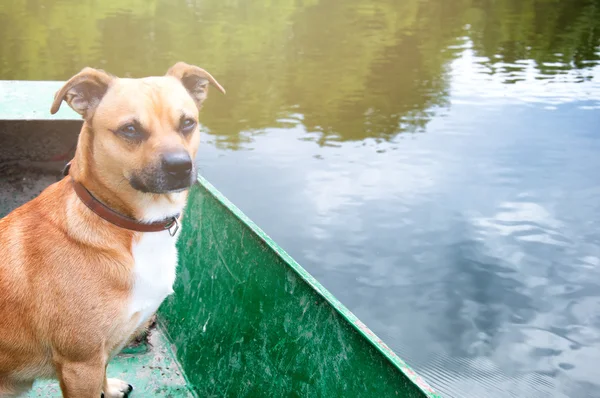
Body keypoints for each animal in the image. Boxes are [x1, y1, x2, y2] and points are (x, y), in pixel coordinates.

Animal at [0, 63, 225, 398]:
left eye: (187, 123)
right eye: (130, 129)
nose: (179, 166)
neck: (126, 225)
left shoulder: (98, 357)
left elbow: (105, 370)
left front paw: (110, 388)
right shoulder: (80, 363)